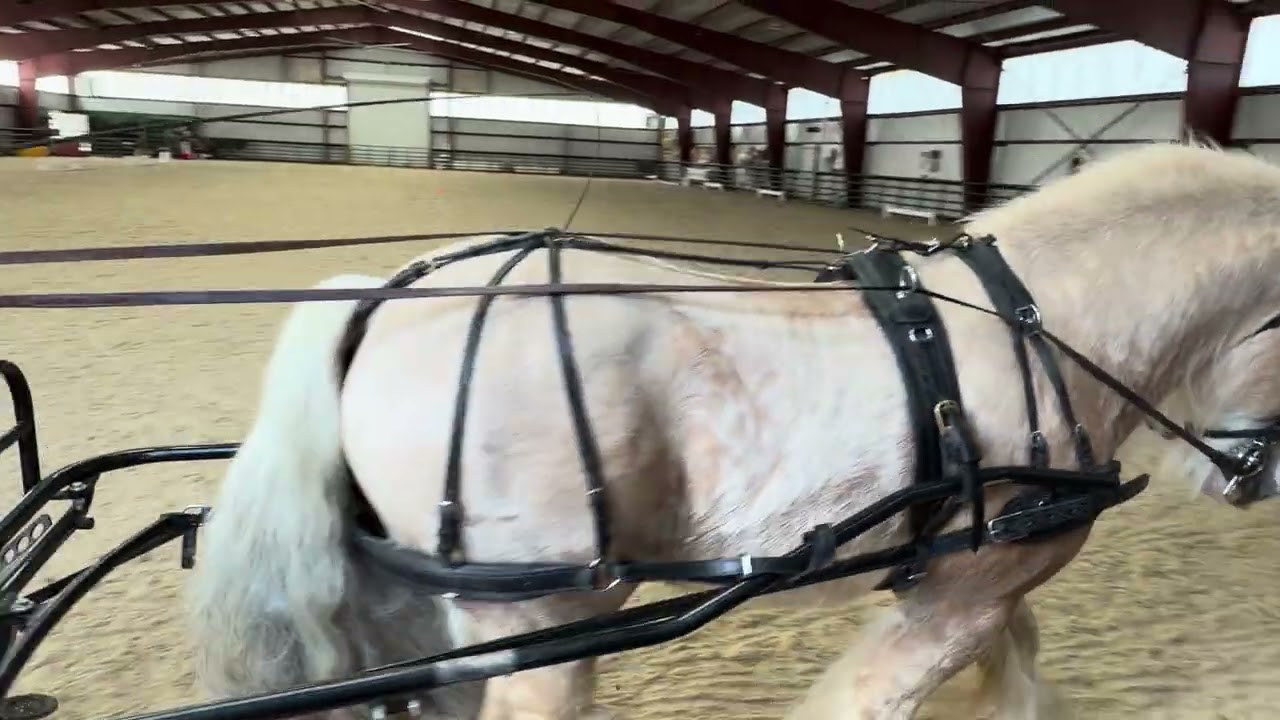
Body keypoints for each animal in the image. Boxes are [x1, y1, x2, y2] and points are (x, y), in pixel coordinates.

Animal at [187, 141, 1280, 719]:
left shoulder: (966, 583)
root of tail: (382, 298)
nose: (1253, 475)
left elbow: (1017, 668)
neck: (1036, 323)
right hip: (539, 618)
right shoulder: (968, 588)